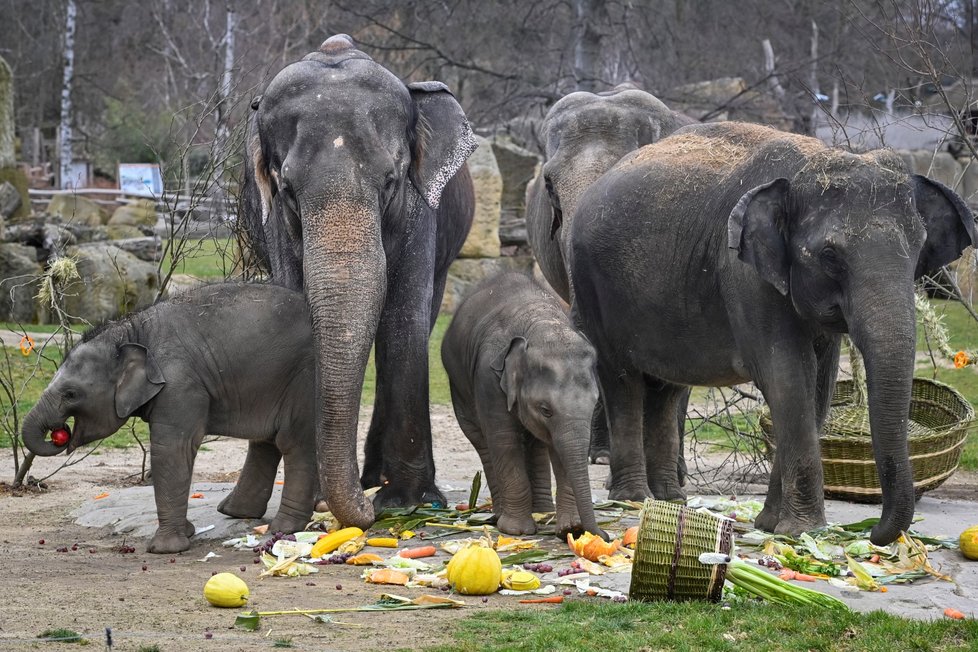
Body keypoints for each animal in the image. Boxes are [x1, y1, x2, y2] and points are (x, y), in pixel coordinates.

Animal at [21, 282, 316, 552]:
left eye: (71, 394)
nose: (59, 434)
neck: (130, 331)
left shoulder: (179, 385)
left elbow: (172, 449)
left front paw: (165, 548)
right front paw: (188, 532)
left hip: (303, 378)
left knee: (293, 441)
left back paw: (282, 527)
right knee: (266, 441)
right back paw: (236, 512)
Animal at [240, 34, 476, 528]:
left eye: (390, 181)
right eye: (287, 190)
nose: (364, 509)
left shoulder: (420, 208)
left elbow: (403, 321)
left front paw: (405, 503)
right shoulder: (275, 226)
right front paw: (314, 500)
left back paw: (380, 481)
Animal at [440, 272, 604, 536]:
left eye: (595, 405)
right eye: (545, 410)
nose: (602, 535)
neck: (541, 322)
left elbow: (559, 447)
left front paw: (570, 527)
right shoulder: (488, 377)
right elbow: (504, 440)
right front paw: (516, 530)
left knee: (536, 445)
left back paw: (543, 512)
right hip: (459, 387)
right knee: (484, 444)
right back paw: (501, 515)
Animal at [568, 122, 972, 544]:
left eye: (919, 248)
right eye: (830, 256)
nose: (873, 532)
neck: (812, 160)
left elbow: (819, 385)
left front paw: (770, 525)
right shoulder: (744, 274)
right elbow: (788, 376)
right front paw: (802, 530)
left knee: (667, 387)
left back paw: (669, 499)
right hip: (590, 283)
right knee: (622, 379)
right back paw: (632, 499)